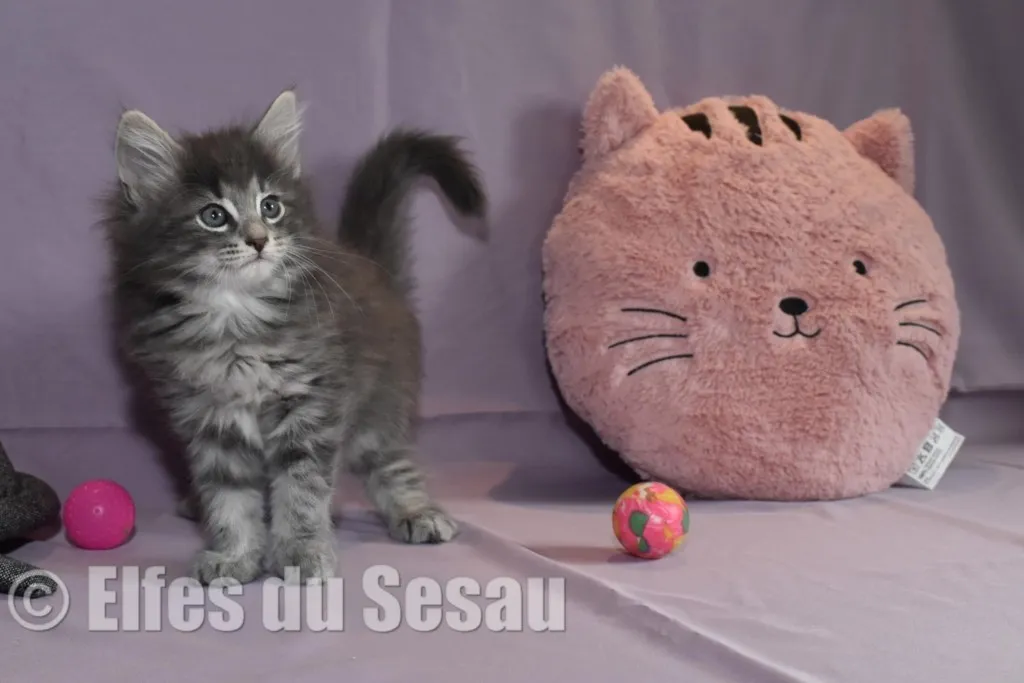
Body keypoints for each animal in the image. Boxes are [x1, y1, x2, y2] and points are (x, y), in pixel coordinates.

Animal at [102, 90, 486, 584]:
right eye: (213, 215)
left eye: (271, 206)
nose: (259, 240)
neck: (235, 319)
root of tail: (372, 267)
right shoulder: (209, 416)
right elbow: (229, 494)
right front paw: (235, 553)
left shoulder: (311, 401)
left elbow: (302, 485)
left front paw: (301, 549)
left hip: (380, 403)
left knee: (389, 459)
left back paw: (415, 510)